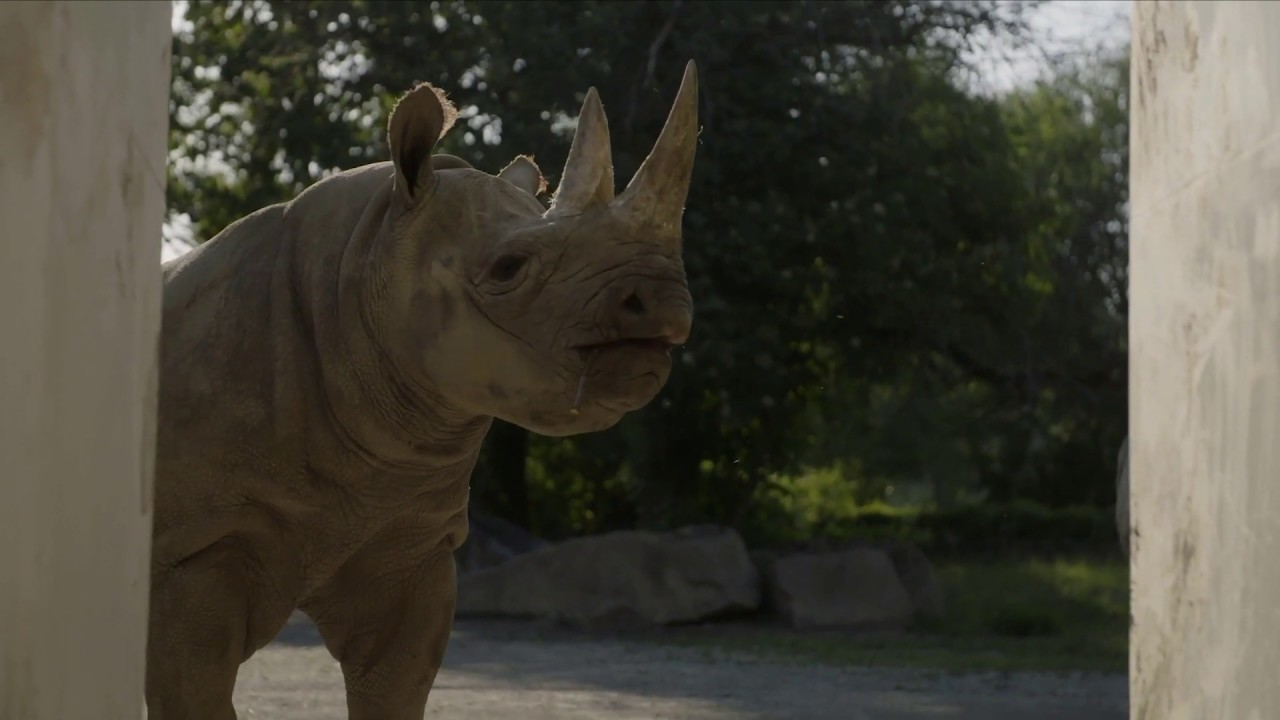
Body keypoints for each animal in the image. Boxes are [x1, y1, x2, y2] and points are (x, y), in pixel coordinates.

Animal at [148, 62, 699, 718]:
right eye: (508, 268)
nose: (663, 299)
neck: (359, 271)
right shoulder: (193, 545)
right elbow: (193, 684)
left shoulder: (408, 538)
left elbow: (396, 683)